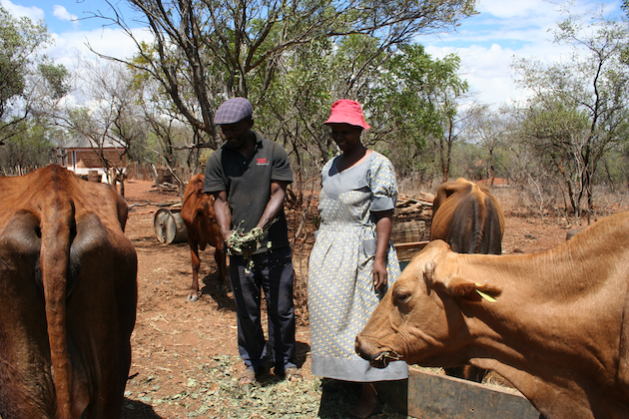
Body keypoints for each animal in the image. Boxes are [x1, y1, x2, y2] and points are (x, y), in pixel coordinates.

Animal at [180, 174, 227, 302]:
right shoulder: (190, 236)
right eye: (211, 218)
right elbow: (195, 263)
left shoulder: (218, 241)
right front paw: (194, 291)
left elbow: (219, 258)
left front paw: (221, 283)